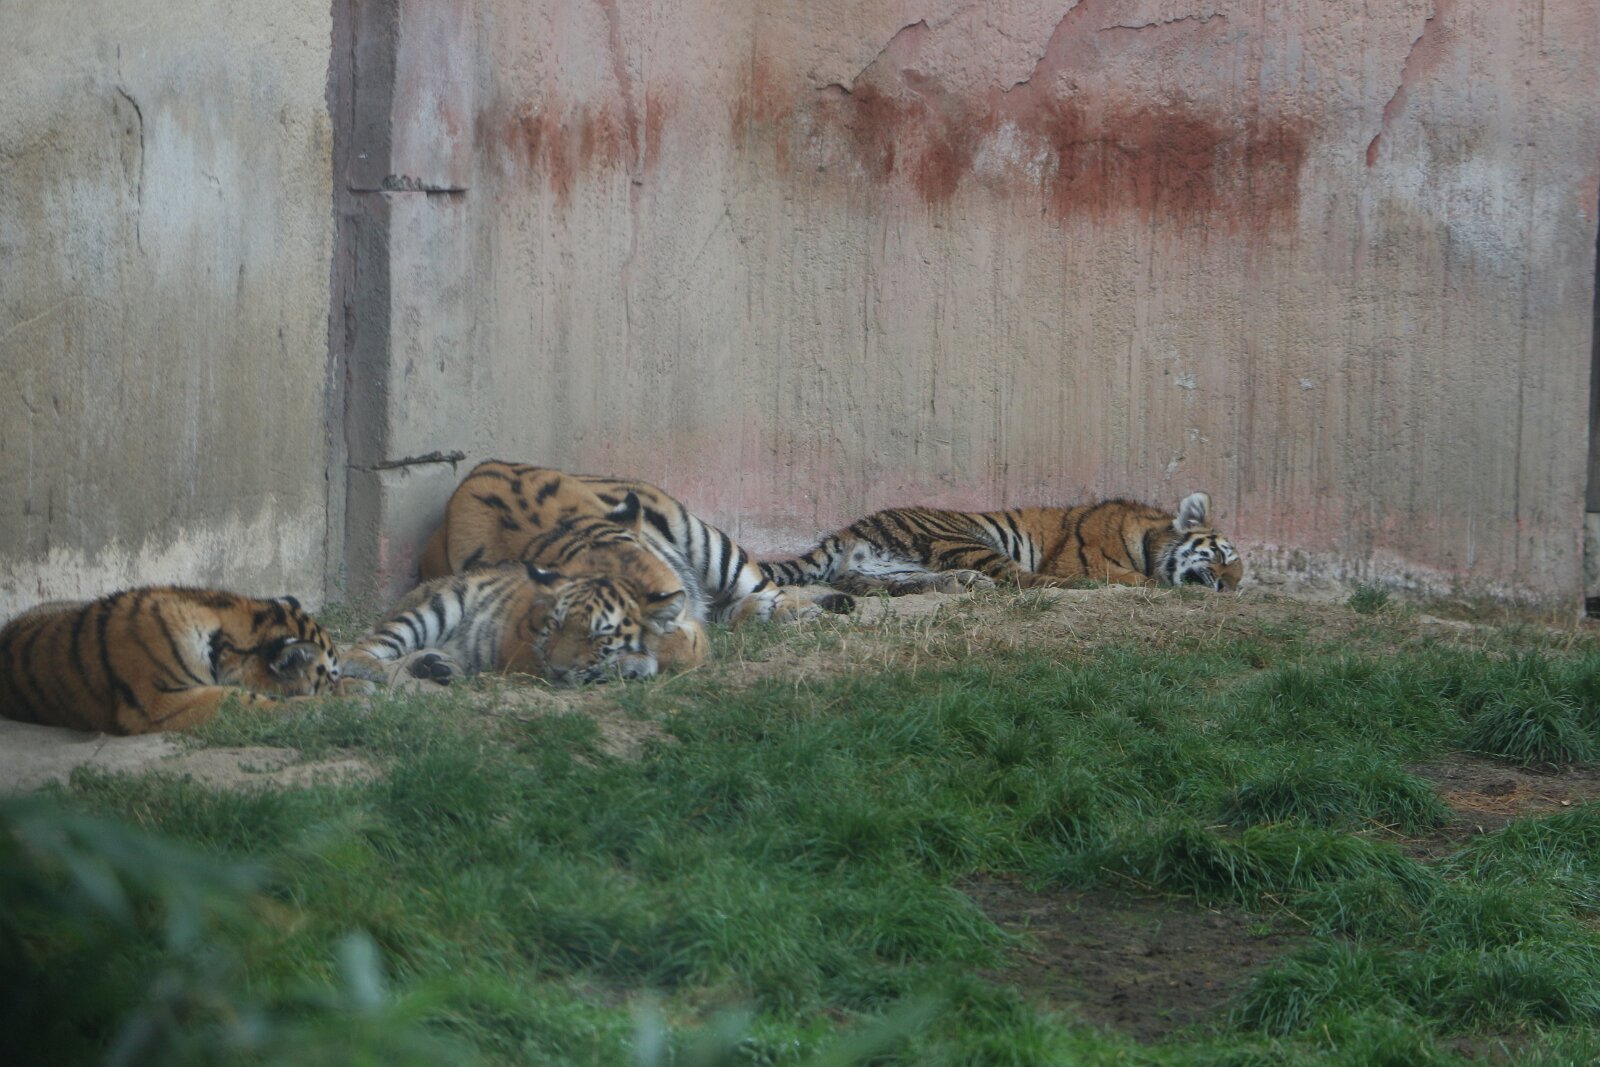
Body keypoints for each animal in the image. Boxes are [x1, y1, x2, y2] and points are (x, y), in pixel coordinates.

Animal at [341, 561, 706, 688]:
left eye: (595, 637)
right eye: (556, 625)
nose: (557, 670)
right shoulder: (524, 652)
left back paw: (438, 667)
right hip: (435, 609)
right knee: (367, 646)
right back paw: (369, 668)